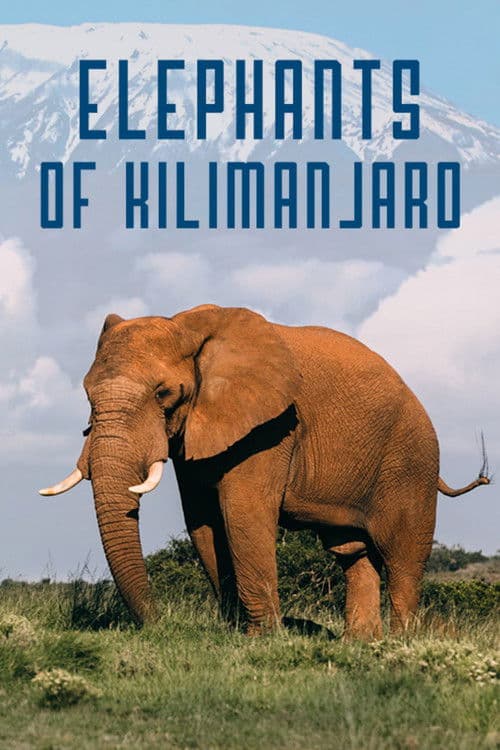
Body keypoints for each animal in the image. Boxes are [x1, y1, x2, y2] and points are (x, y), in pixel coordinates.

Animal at [39, 304, 490, 639]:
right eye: (86, 394)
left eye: (164, 393)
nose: (157, 625)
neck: (188, 327)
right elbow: (203, 520)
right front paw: (234, 632)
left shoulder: (272, 427)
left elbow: (243, 512)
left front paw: (263, 639)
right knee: (353, 553)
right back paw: (359, 645)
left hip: (411, 461)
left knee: (403, 556)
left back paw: (400, 644)